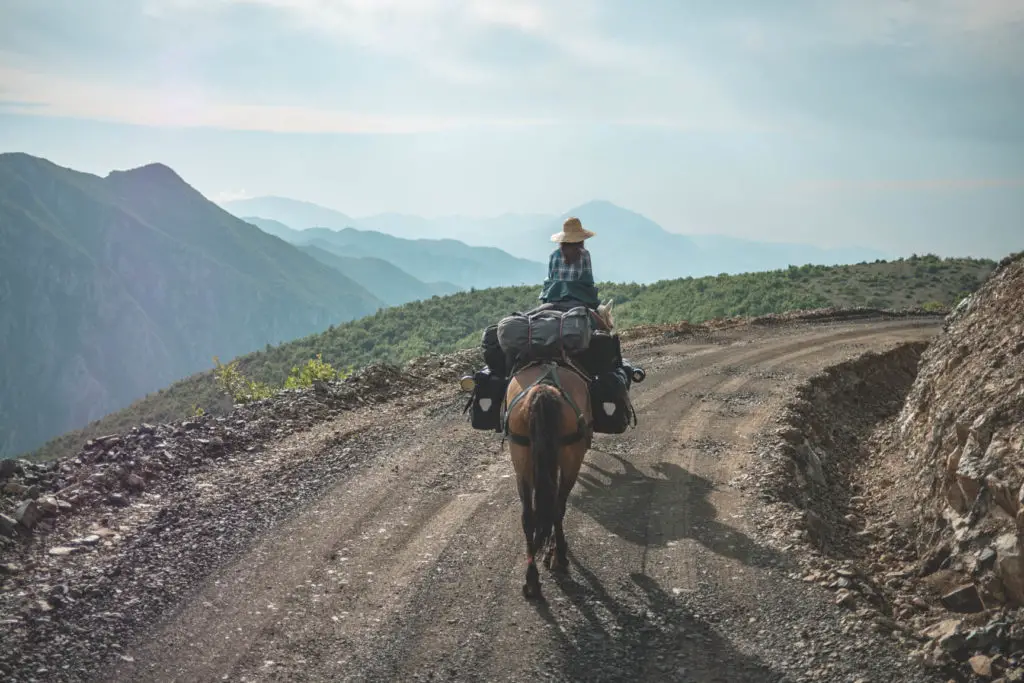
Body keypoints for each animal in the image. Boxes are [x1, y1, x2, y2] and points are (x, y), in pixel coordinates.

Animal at [503, 299, 614, 598]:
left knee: (528, 517)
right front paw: (554, 554)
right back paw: (559, 557)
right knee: (556, 506)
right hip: (570, 456)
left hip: (521, 457)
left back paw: (531, 579)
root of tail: (544, 388)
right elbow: (558, 506)